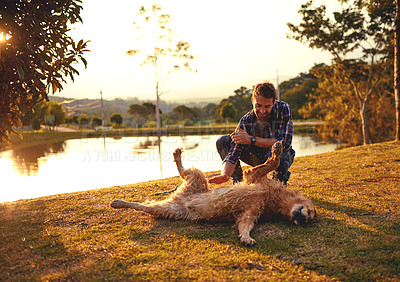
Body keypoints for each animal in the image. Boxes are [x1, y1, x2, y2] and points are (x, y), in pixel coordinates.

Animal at [110, 142, 316, 246]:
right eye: (311, 212)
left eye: (310, 218)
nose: (303, 220)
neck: (272, 199)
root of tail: (180, 199)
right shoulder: (254, 176)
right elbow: (272, 163)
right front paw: (277, 150)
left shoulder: (251, 211)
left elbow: (245, 224)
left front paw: (246, 237)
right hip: (198, 180)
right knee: (186, 171)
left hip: (168, 210)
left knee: (145, 206)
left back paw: (119, 203)